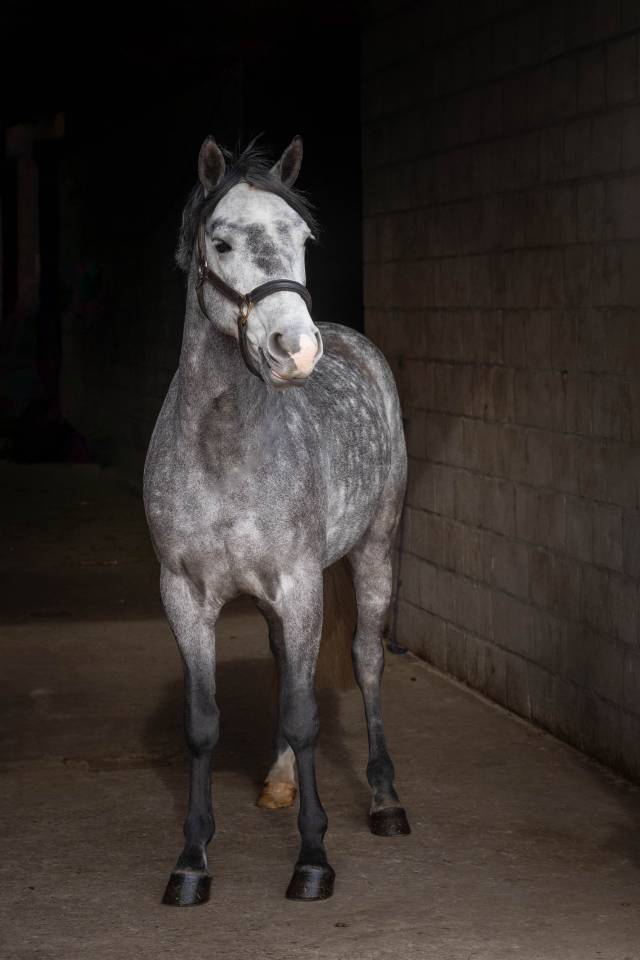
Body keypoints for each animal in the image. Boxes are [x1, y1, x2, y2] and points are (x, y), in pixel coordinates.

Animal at [143, 135, 410, 905]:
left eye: (302, 239)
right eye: (222, 242)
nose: (296, 348)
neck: (224, 447)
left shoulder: (300, 586)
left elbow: (304, 712)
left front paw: (314, 859)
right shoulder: (185, 595)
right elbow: (203, 724)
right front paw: (192, 862)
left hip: (374, 550)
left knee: (367, 659)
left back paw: (385, 801)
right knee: (283, 665)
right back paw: (279, 782)